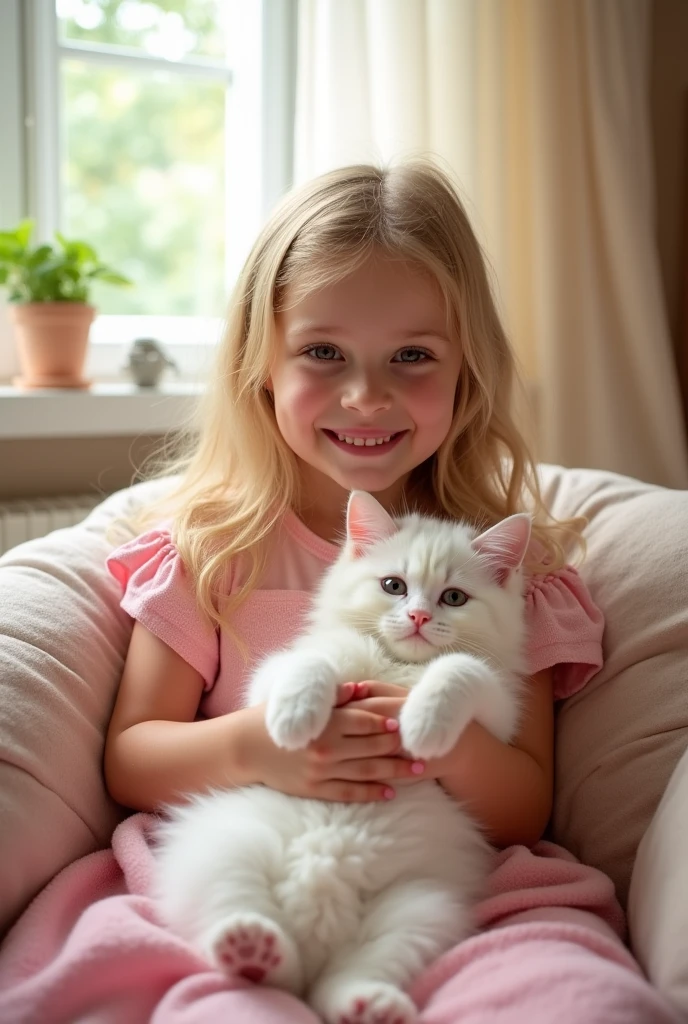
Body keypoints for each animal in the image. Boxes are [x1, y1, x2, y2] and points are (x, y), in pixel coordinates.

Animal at [153, 493, 532, 1024]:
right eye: (394, 586)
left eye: (454, 598)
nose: (417, 617)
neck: (397, 664)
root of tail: (318, 920)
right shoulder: (273, 676)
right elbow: (312, 661)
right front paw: (295, 716)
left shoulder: (497, 713)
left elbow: (459, 668)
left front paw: (425, 723)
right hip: (227, 851)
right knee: (262, 944)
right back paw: (250, 947)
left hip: (421, 905)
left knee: (343, 973)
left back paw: (366, 1002)